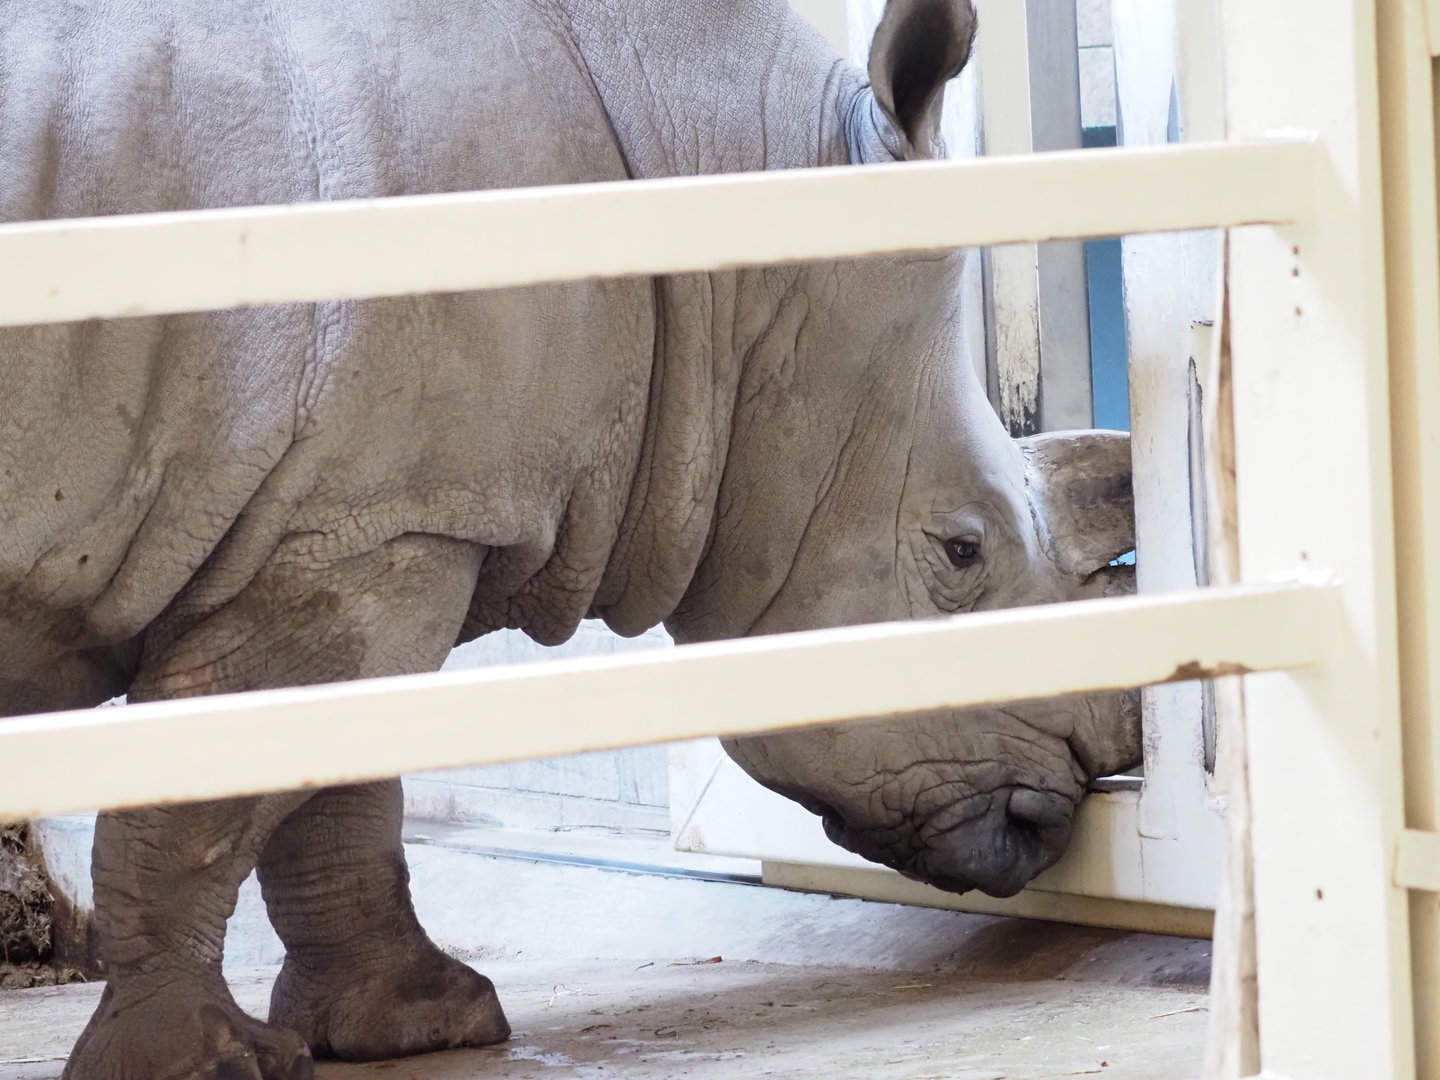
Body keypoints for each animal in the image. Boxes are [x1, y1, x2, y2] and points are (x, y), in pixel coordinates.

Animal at [0, 0, 1140, 1074]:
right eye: (961, 553)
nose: (1048, 821)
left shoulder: (382, 520)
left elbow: (345, 791)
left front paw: (422, 1027)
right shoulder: (373, 525)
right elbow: (206, 806)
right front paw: (203, 1063)